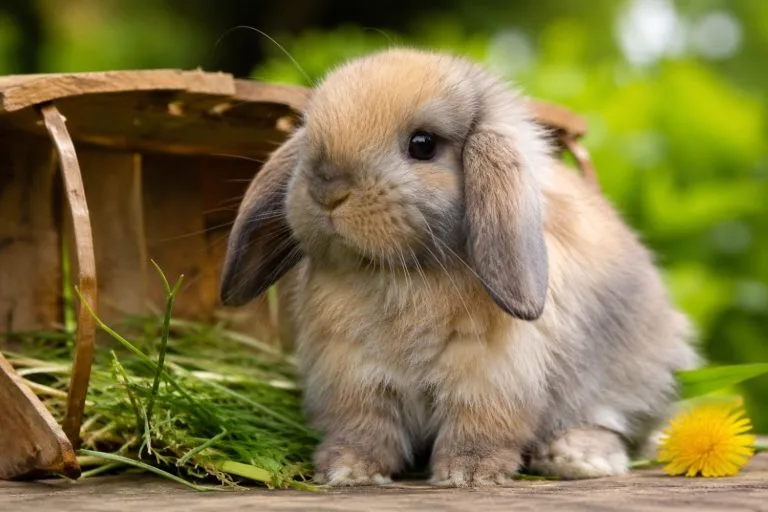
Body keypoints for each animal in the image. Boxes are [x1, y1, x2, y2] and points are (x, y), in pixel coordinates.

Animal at [219, 47, 700, 487]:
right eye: (309, 134)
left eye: (423, 144)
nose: (327, 190)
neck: (399, 273)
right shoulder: (353, 375)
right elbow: (364, 427)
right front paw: (348, 469)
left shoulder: (489, 376)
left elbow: (480, 425)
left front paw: (468, 473)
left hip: (626, 378)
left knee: (614, 423)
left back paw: (576, 459)